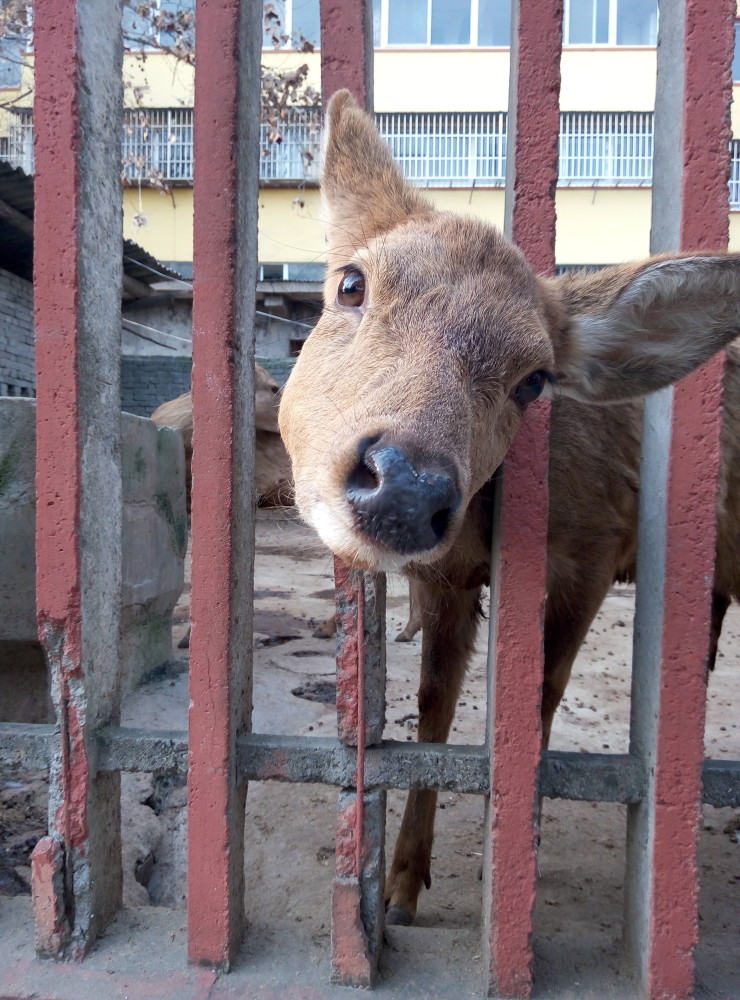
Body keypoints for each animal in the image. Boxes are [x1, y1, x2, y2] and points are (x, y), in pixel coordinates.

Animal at [276, 90, 740, 924]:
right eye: (351, 284)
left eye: (534, 379)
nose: (405, 486)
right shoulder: (446, 578)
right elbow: (433, 709)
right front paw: (400, 887)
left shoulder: (594, 547)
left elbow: (538, 701)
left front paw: (514, 853)